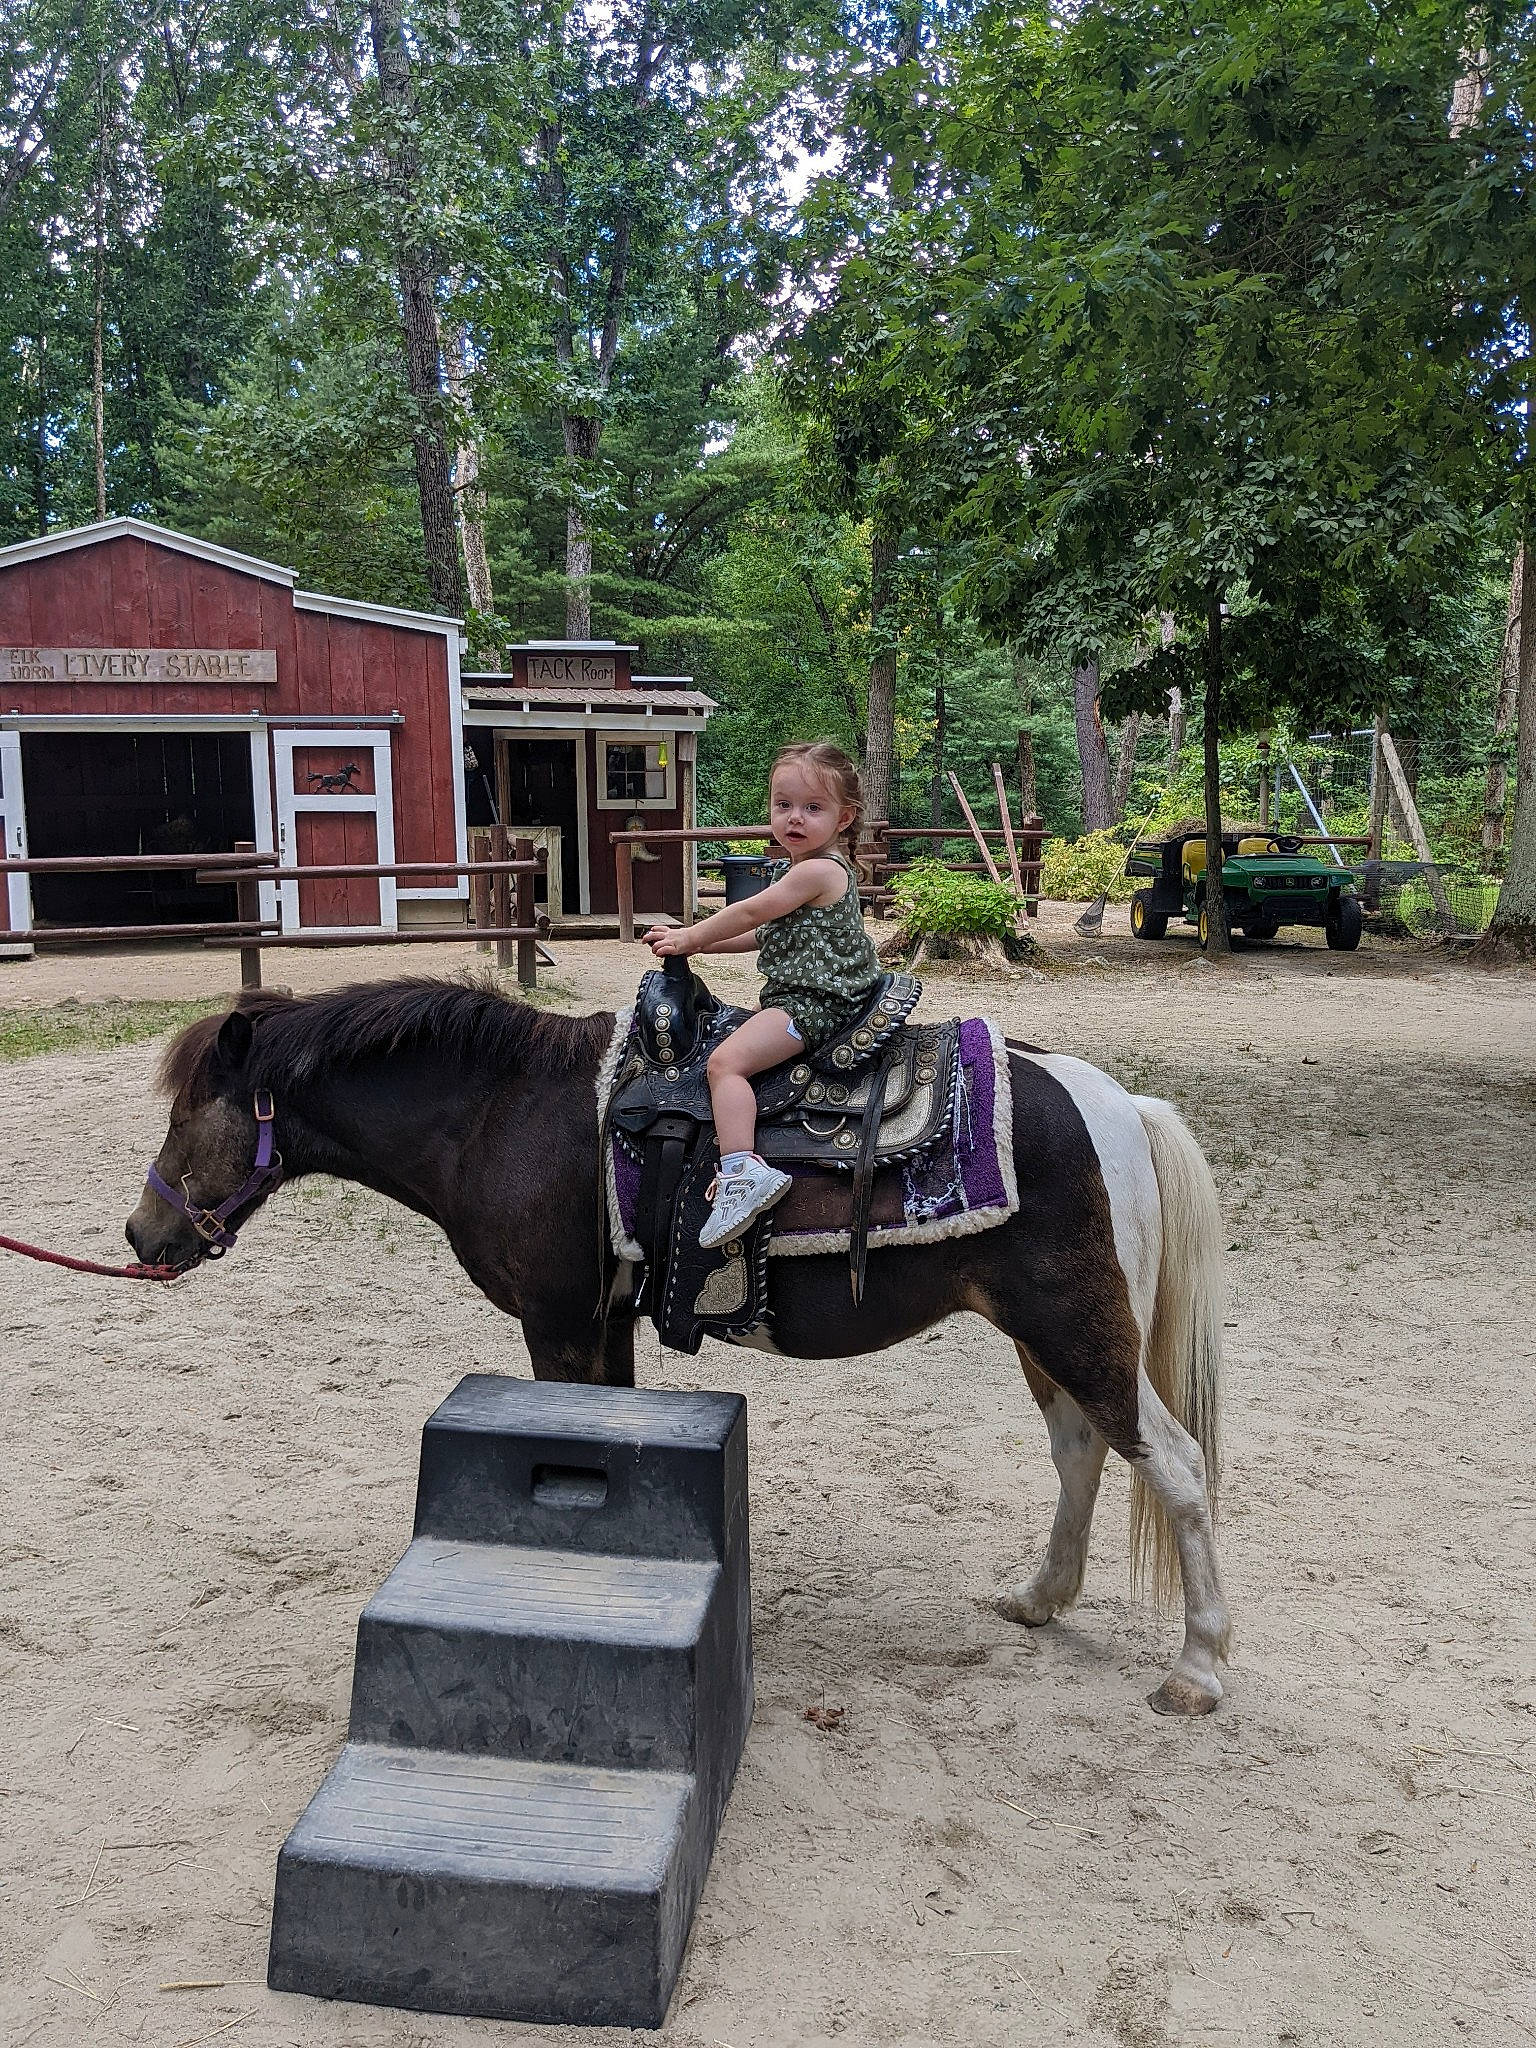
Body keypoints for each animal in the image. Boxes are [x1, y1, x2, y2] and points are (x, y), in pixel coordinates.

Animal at [125, 976, 1232, 1716]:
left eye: (188, 1111)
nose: (144, 1234)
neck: (503, 1111)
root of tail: (1118, 1104)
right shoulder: (603, 1324)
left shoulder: (557, 1322)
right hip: (1044, 1335)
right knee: (1083, 1450)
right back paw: (1041, 1598)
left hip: (1078, 1326)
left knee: (1174, 1466)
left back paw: (1198, 1667)